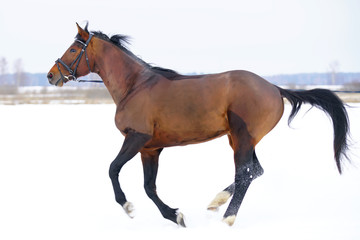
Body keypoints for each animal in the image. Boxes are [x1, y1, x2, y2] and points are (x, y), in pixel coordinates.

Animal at [45, 23, 348, 227]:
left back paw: (227, 218)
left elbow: (113, 169)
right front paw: (175, 215)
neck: (135, 86)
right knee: (255, 171)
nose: (51, 75)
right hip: (241, 139)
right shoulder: (150, 149)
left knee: (244, 174)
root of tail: (274, 88)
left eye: (73, 49)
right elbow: (149, 186)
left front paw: (128, 207)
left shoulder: (136, 138)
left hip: (242, 137)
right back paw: (217, 202)